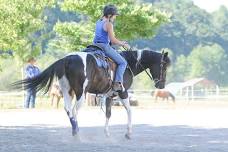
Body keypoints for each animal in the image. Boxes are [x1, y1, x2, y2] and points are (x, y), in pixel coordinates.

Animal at [12, 48, 169, 139]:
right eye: (165, 66)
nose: (161, 85)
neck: (128, 63)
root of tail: (67, 59)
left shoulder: (109, 95)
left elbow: (108, 113)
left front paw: (106, 133)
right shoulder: (122, 92)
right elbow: (129, 111)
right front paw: (128, 133)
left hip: (67, 91)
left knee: (68, 109)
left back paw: (74, 131)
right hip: (80, 92)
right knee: (74, 110)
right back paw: (77, 133)